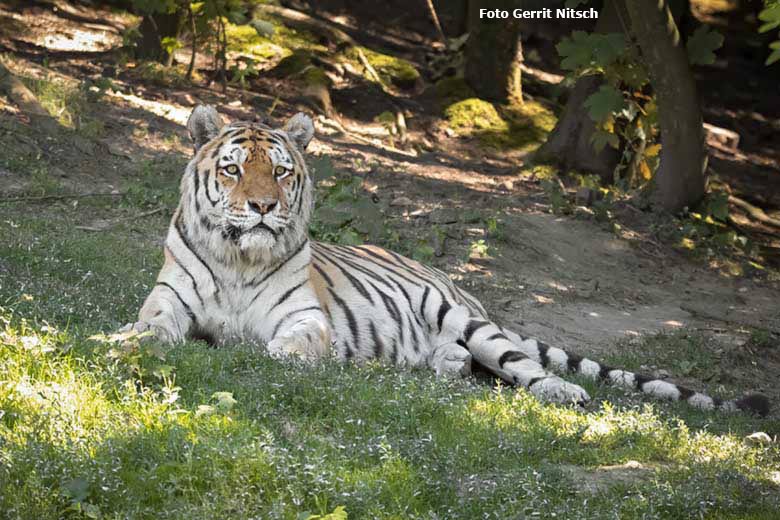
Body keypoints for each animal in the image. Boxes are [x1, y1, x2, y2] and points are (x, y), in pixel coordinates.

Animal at [122, 103, 768, 416]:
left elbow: (294, 342)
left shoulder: (304, 316)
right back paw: (444, 366)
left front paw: (280, 356)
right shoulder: (170, 300)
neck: (240, 258)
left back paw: (563, 393)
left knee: (524, 367)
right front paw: (127, 341)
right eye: (233, 169)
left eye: (280, 171)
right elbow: (150, 325)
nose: (263, 206)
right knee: (464, 364)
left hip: (468, 321)